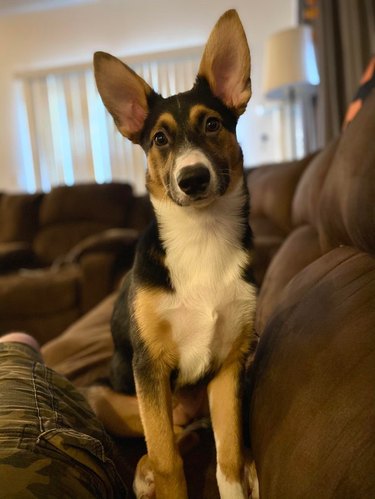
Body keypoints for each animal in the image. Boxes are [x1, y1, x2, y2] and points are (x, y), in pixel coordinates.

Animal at [94, 8, 258, 499]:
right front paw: (160, 474)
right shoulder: (149, 367)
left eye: (212, 125)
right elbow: (169, 461)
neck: (201, 236)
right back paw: (144, 470)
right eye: (160, 140)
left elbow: (227, 459)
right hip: (107, 394)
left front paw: (236, 480)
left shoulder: (229, 367)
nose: (193, 179)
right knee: (165, 438)